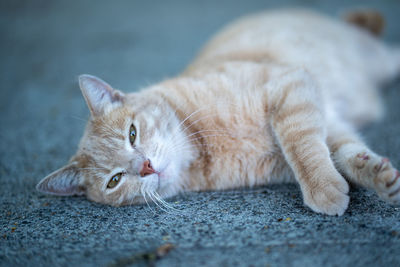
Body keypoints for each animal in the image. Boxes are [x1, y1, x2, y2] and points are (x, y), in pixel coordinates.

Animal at [36, 9, 400, 217]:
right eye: (114, 180)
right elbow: (342, 153)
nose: (146, 167)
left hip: (378, 58)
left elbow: (302, 148)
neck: (203, 148)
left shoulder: (290, 87)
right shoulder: (324, 118)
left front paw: (323, 187)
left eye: (132, 134)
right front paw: (376, 175)